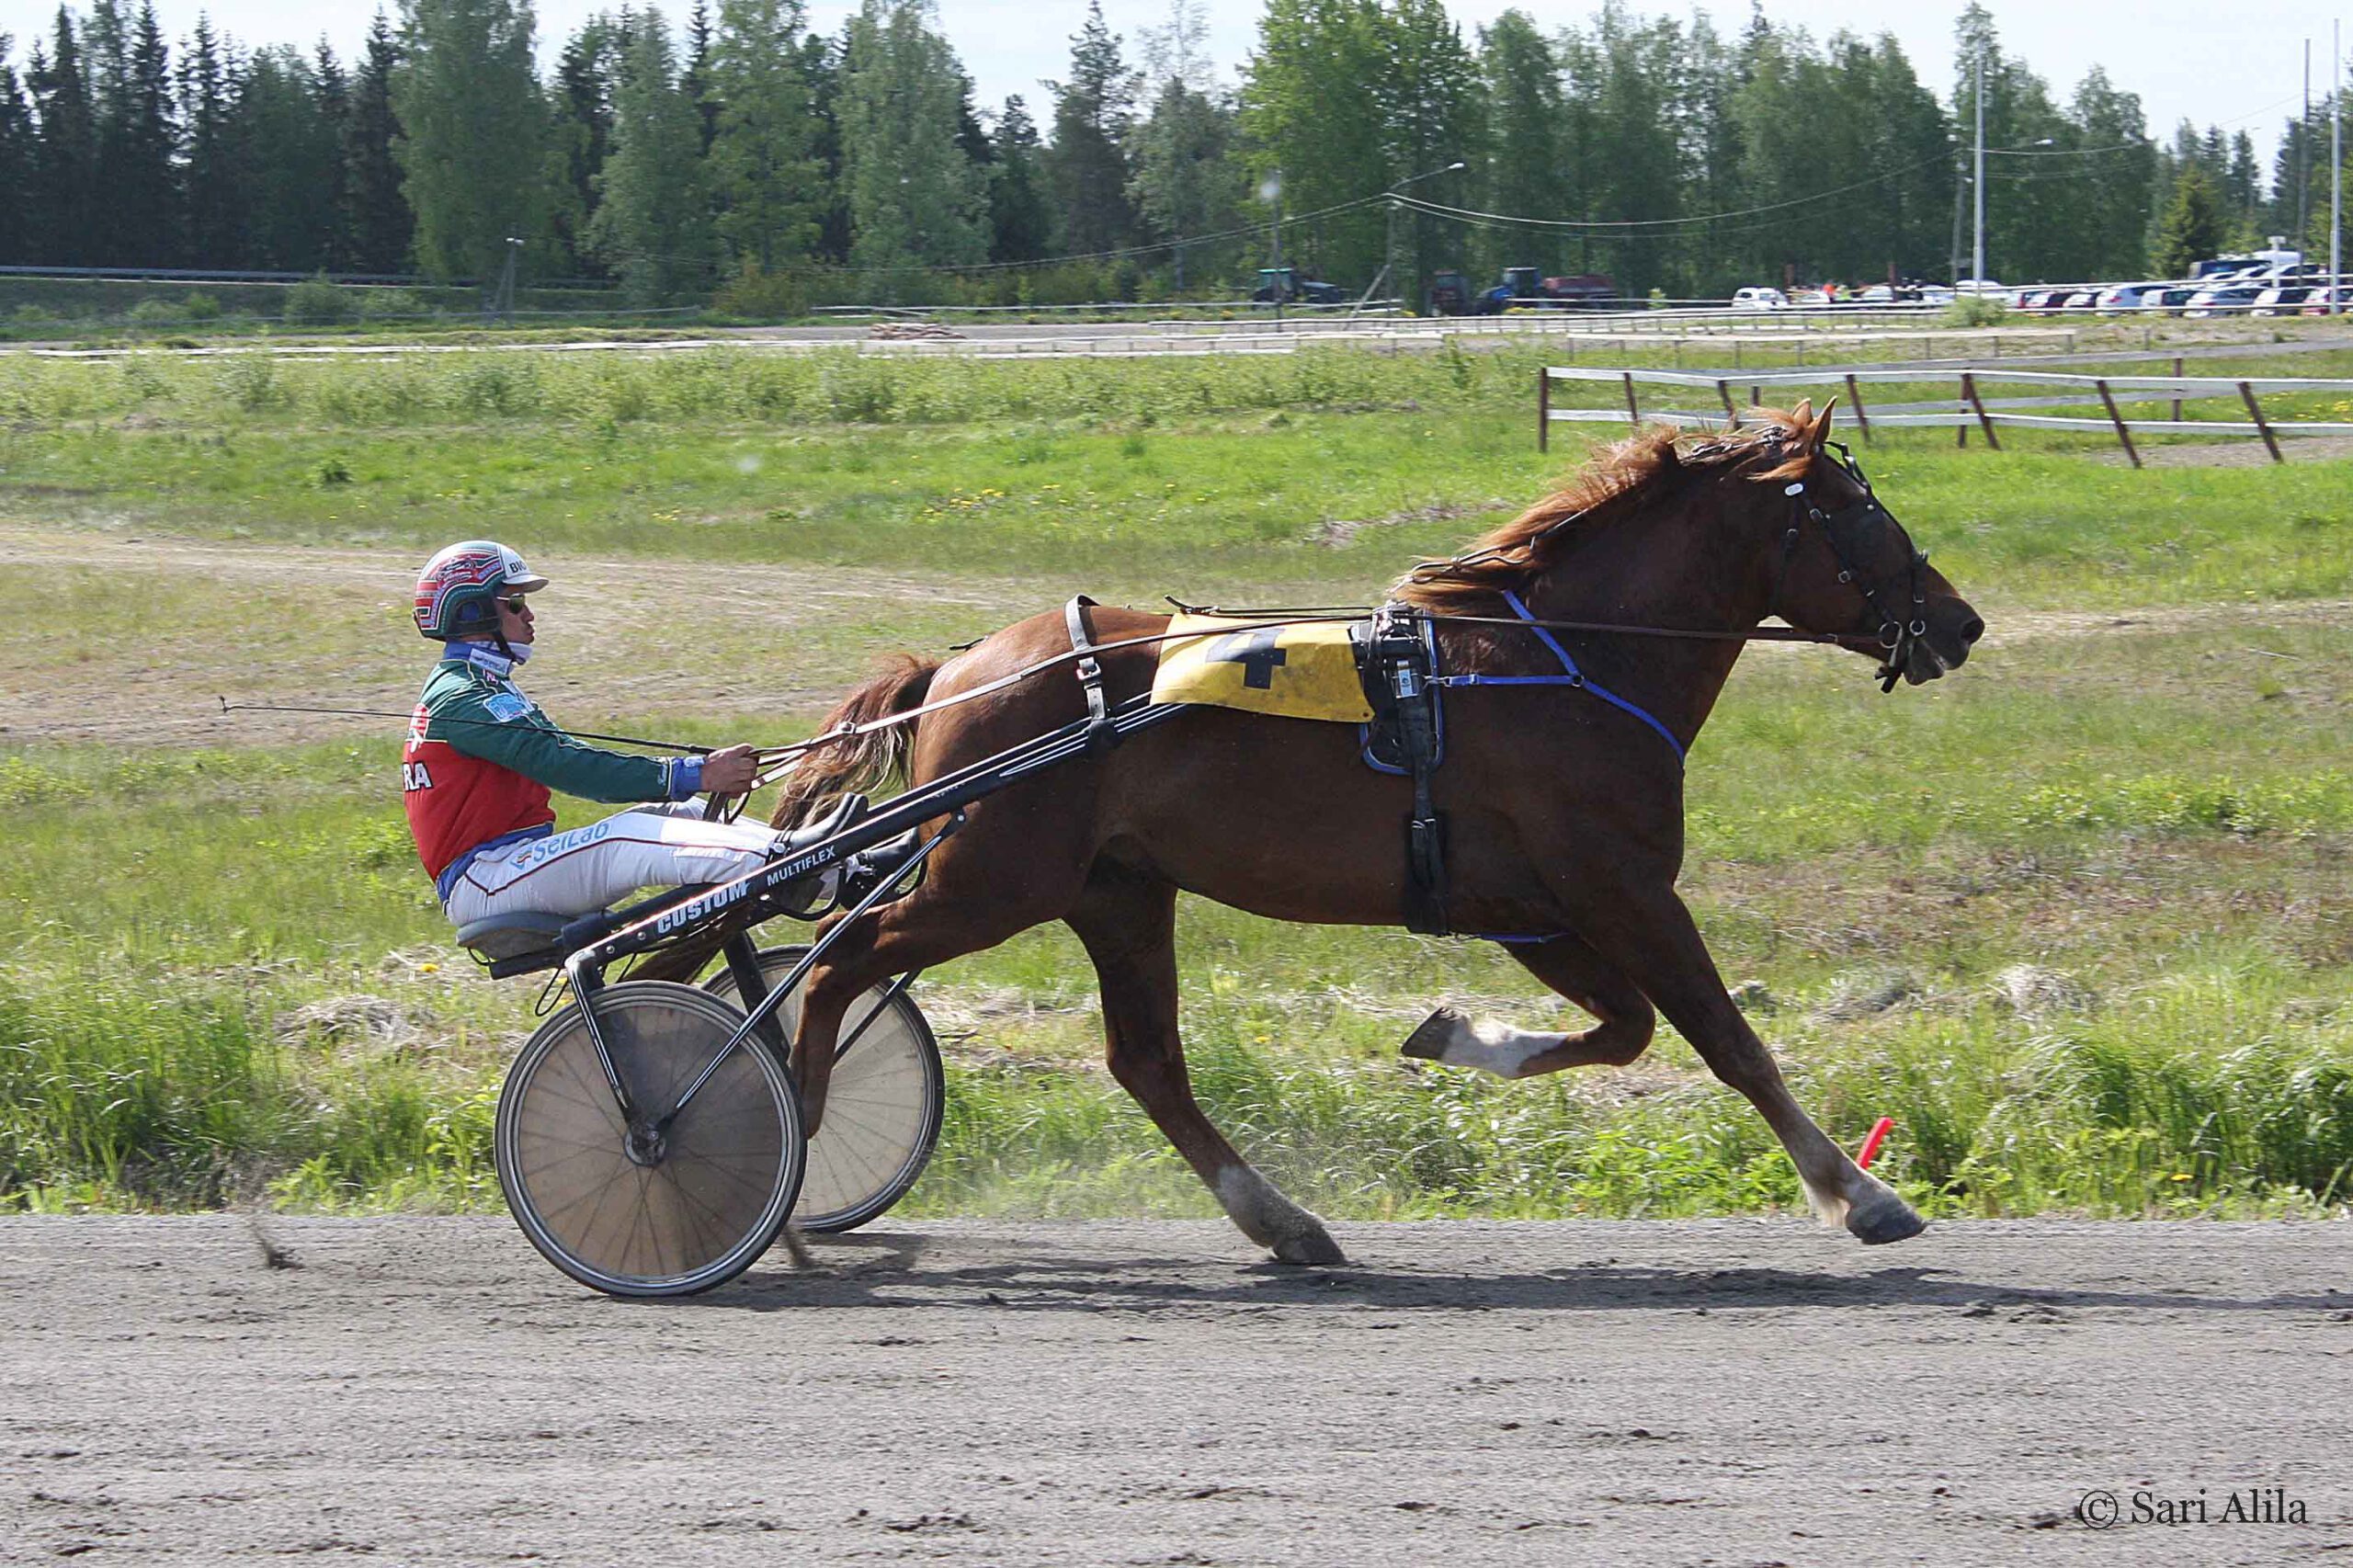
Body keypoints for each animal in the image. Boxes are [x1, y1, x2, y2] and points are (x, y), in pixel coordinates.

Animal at [691, 402, 1982, 1264]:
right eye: (1861, 513)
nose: (1960, 620)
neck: (1567, 656)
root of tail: (959, 669)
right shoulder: (1619, 887)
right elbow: (1726, 1039)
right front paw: (1858, 1195)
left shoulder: (1530, 910)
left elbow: (1623, 1033)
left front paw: (1458, 1036)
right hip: (994, 878)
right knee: (845, 965)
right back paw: (784, 1155)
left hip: (1117, 890)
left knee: (1145, 1060)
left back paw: (1283, 1219)